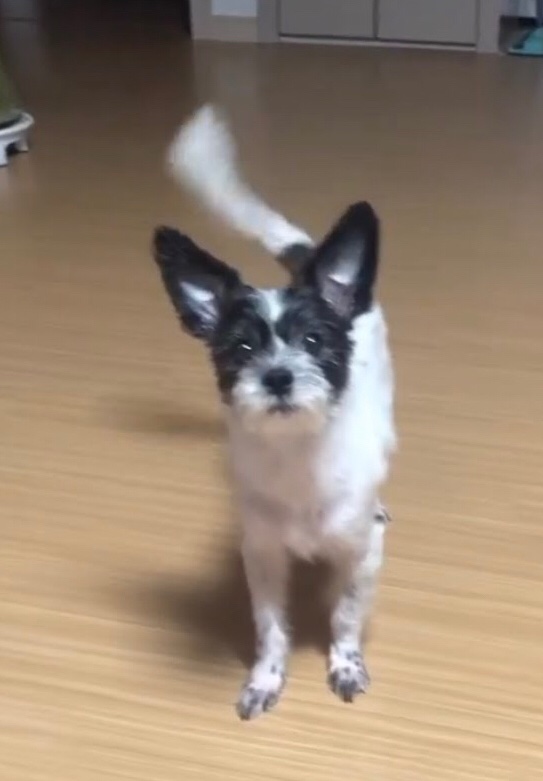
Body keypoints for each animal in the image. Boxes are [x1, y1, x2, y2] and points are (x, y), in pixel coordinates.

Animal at [152, 106, 396, 720]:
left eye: (314, 341)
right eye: (240, 349)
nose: (278, 376)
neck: (297, 457)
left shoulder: (360, 557)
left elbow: (346, 614)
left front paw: (345, 663)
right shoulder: (261, 556)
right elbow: (270, 627)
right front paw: (266, 678)